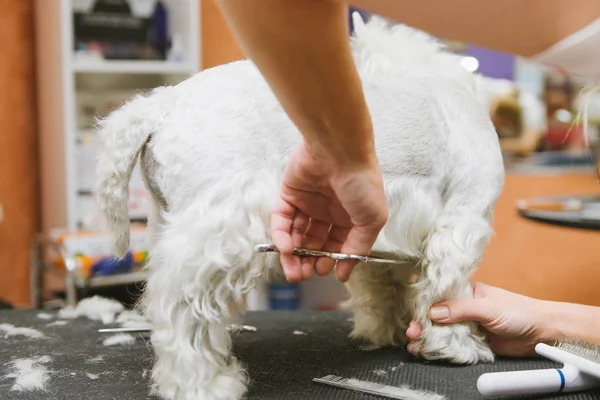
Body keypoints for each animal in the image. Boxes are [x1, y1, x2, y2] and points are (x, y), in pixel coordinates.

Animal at [95, 13, 506, 400]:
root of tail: (161, 104)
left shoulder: (377, 239)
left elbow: (384, 288)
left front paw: (387, 331)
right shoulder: (462, 221)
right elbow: (447, 290)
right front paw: (454, 345)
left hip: (170, 222)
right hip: (219, 232)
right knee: (182, 308)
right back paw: (205, 384)